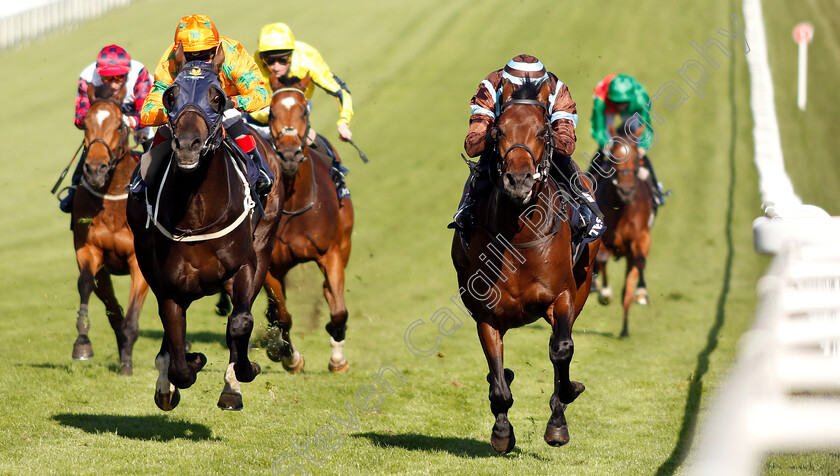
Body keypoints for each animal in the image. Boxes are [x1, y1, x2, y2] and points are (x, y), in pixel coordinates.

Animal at [70, 84, 149, 376]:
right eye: (85, 125)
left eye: (118, 125)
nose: (95, 169)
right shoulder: (89, 250)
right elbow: (85, 284)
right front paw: (82, 343)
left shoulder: (139, 261)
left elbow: (132, 318)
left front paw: (126, 365)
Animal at [124, 42, 282, 410]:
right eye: (170, 95)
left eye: (218, 97)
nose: (187, 145)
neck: (197, 214)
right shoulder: (169, 286)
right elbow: (179, 355)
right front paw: (186, 367)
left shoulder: (245, 265)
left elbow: (240, 323)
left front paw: (245, 371)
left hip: (265, 241)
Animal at [262, 83, 354, 376]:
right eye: (271, 112)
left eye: (304, 111)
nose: (289, 155)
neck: (294, 205)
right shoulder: (269, 266)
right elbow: (282, 316)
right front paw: (289, 357)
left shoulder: (330, 253)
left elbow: (338, 311)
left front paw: (337, 358)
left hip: (345, 244)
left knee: (329, 291)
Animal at [450, 79, 600, 454]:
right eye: (498, 131)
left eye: (543, 132)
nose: (518, 180)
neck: (518, 237)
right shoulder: (486, 315)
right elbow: (498, 376)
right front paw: (502, 431)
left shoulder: (562, 297)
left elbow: (562, 351)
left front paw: (561, 413)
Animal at [592, 129, 656, 338]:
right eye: (613, 156)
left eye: (636, 159)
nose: (626, 190)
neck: (621, 207)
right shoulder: (601, 238)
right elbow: (602, 258)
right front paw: (605, 293)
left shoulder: (641, 238)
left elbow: (640, 261)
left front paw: (639, 294)